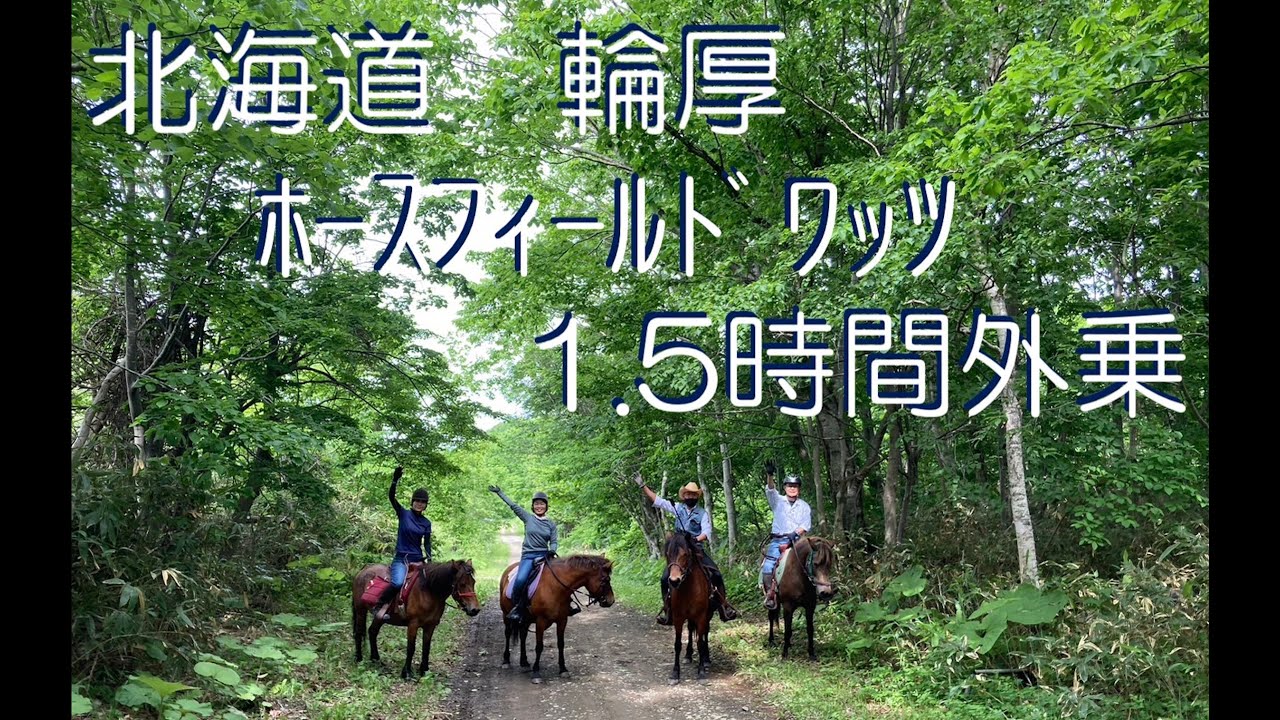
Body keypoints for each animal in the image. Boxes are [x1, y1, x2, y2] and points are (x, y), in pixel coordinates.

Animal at [351, 559, 481, 679]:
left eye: (473, 582)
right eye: (462, 584)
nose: (475, 609)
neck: (429, 591)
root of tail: (362, 571)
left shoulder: (430, 625)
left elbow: (426, 647)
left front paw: (425, 671)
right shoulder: (413, 624)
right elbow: (411, 647)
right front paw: (407, 673)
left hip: (380, 617)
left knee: (372, 632)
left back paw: (376, 660)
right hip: (360, 610)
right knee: (359, 633)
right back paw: (359, 659)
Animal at [498, 554, 614, 684]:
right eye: (605, 580)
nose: (611, 600)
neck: (555, 587)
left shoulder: (562, 620)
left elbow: (561, 644)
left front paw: (563, 669)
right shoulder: (540, 621)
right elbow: (539, 646)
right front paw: (536, 672)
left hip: (526, 620)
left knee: (523, 635)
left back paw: (524, 662)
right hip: (506, 615)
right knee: (508, 634)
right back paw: (506, 661)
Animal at [663, 531, 718, 684]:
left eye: (686, 554)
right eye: (668, 554)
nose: (674, 581)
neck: (688, 588)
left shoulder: (701, 616)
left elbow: (700, 642)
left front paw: (701, 672)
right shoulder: (678, 617)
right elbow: (677, 644)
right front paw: (675, 673)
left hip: (707, 615)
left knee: (705, 633)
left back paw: (706, 659)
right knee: (691, 629)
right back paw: (688, 655)